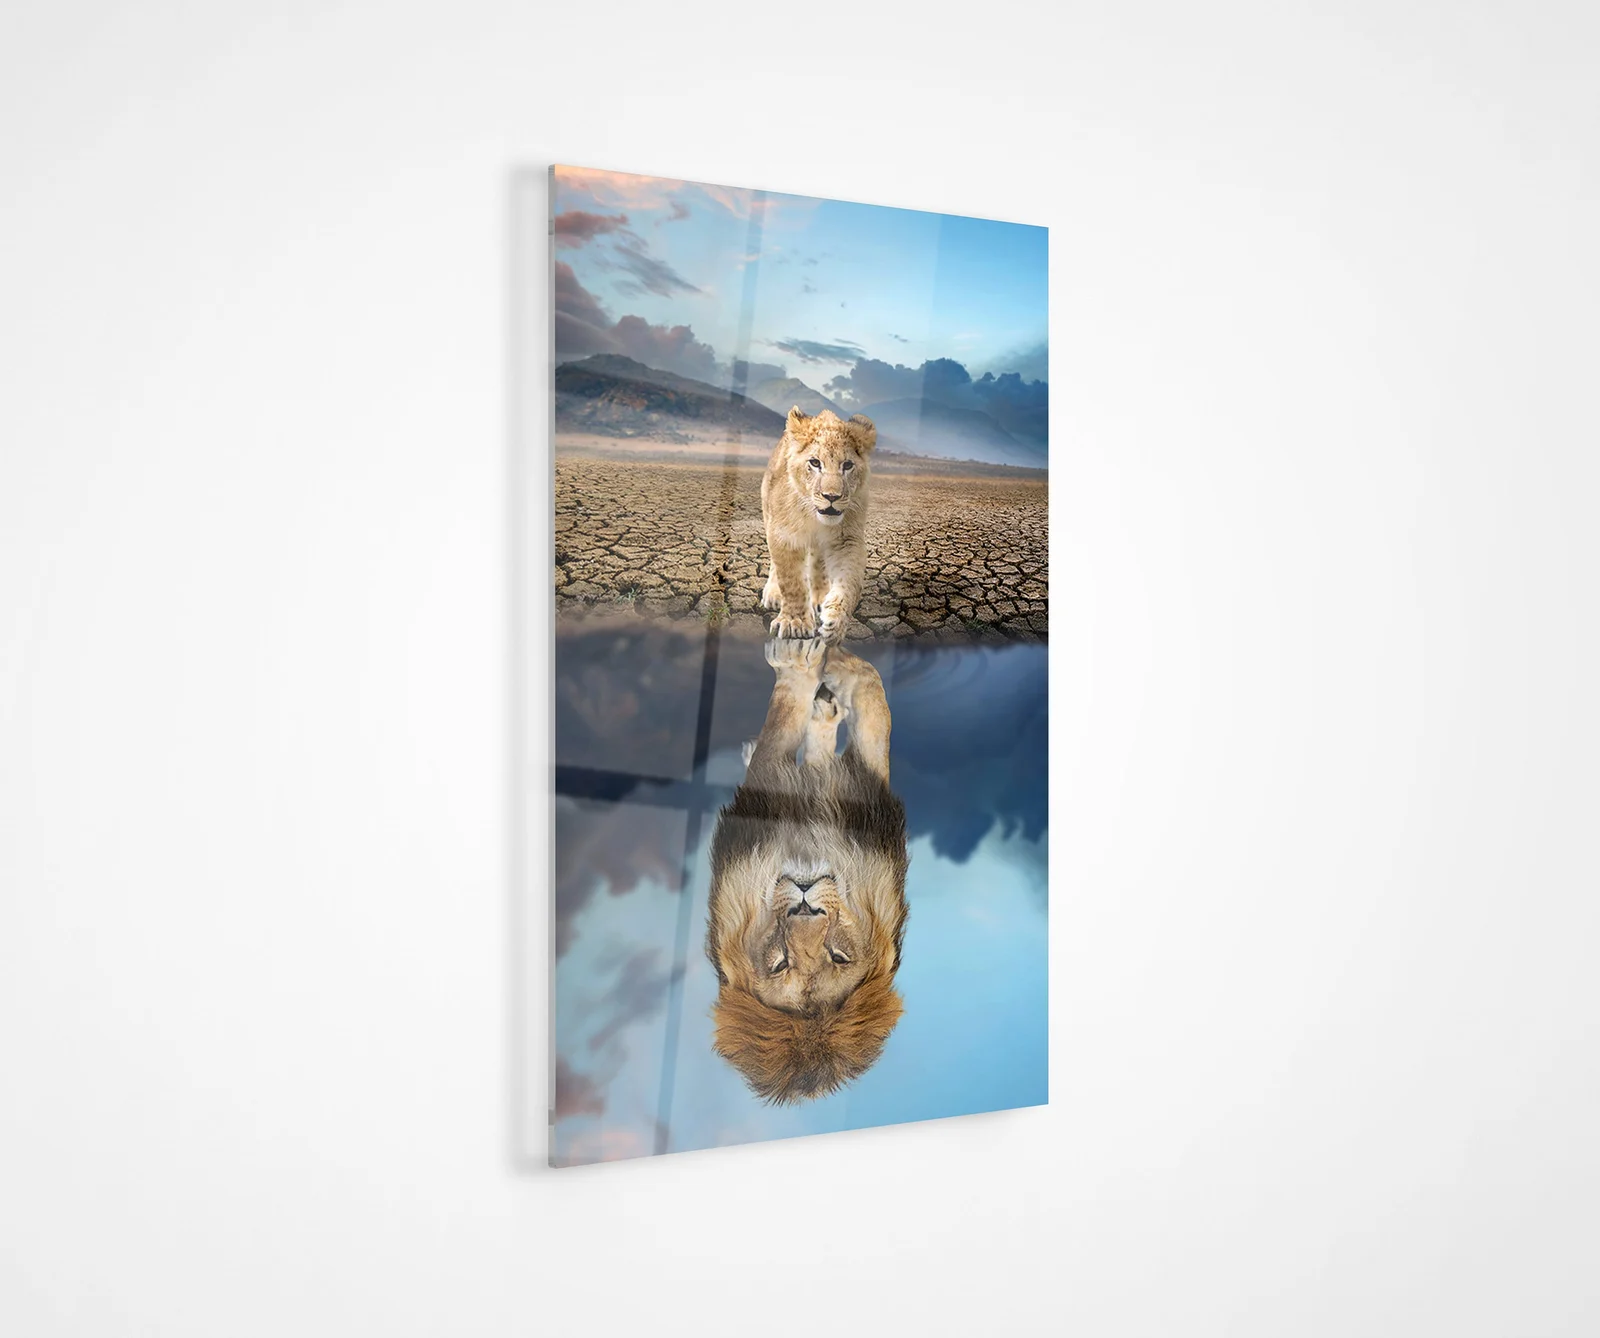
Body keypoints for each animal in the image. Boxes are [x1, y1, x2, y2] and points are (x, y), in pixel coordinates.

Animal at [705, 637, 908, 1104]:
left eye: (838, 956)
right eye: (780, 963)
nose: (804, 903)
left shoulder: (863, 798)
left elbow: (870, 708)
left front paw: (816, 667)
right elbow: (870, 706)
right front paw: (819, 667)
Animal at [760, 407, 877, 644]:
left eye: (847, 465)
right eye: (815, 463)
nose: (831, 497)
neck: (813, 516)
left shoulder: (847, 539)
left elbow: (850, 583)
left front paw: (835, 622)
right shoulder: (783, 535)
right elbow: (791, 581)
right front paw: (794, 623)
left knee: (819, 563)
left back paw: (820, 599)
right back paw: (773, 594)